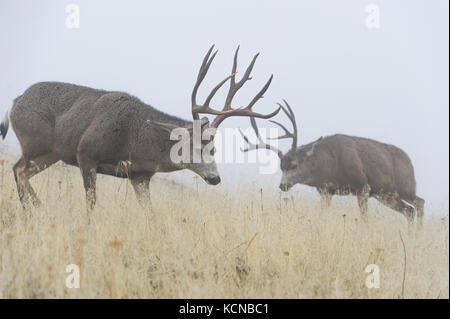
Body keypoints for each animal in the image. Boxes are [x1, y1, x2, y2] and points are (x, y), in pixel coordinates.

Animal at [241, 100, 424, 222]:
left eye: (294, 165)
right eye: (281, 167)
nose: (283, 185)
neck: (330, 165)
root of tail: (410, 163)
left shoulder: (362, 186)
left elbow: (364, 218)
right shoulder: (326, 190)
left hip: (403, 187)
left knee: (419, 203)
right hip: (385, 193)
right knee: (409, 210)